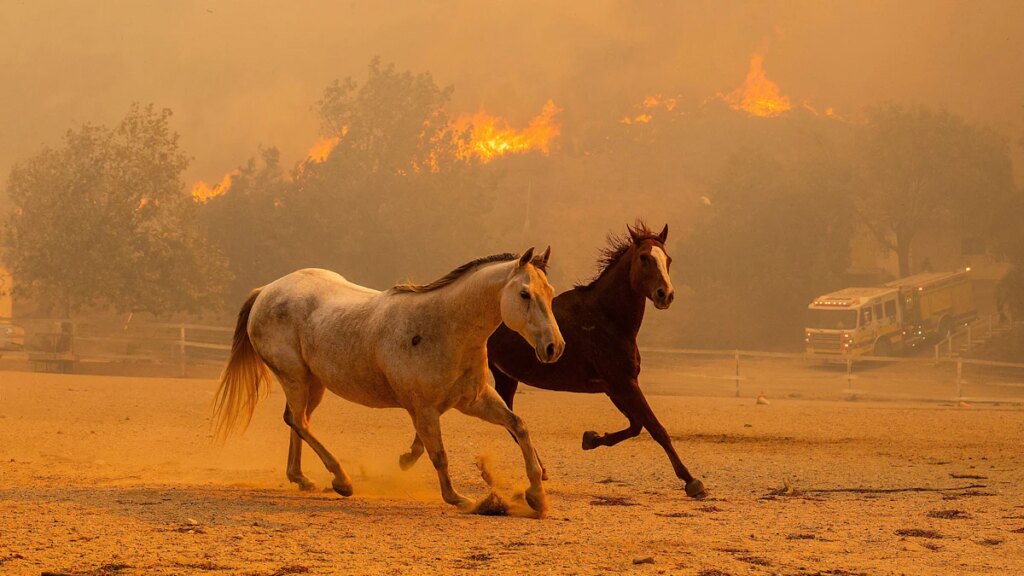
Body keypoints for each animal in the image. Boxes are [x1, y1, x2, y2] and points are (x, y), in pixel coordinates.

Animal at [211, 247, 565, 510]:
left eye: (550, 292)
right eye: (524, 294)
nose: (554, 347)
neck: (444, 327)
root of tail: (266, 291)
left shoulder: (474, 400)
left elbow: (519, 426)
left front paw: (537, 496)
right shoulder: (424, 409)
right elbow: (439, 454)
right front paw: (457, 498)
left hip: (314, 383)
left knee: (296, 421)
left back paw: (302, 479)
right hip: (295, 377)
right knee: (298, 421)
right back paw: (342, 480)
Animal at [487, 222, 704, 496]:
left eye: (668, 259)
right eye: (644, 258)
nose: (665, 295)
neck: (605, 316)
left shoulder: (615, 387)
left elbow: (636, 425)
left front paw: (591, 438)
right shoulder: (624, 383)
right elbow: (656, 428)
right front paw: (692, 481)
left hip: (505, 376)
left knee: (510, 420)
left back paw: (541, 470)